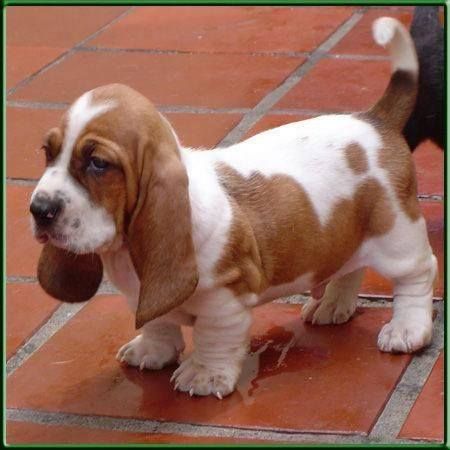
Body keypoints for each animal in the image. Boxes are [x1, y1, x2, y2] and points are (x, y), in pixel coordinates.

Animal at [30, 17, 436, 400]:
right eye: (48, 152)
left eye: (98, 163)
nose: (39, 209)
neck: (126, 249)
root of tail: (374, 120)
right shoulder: (139, 297)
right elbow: (157, 322)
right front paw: (152, 351)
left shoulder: (225, 301)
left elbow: (214, 340)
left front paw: (204, 376)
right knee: (349, 267)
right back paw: (334, 305)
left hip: (396, 234)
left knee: (417, 275)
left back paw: (407, 329)